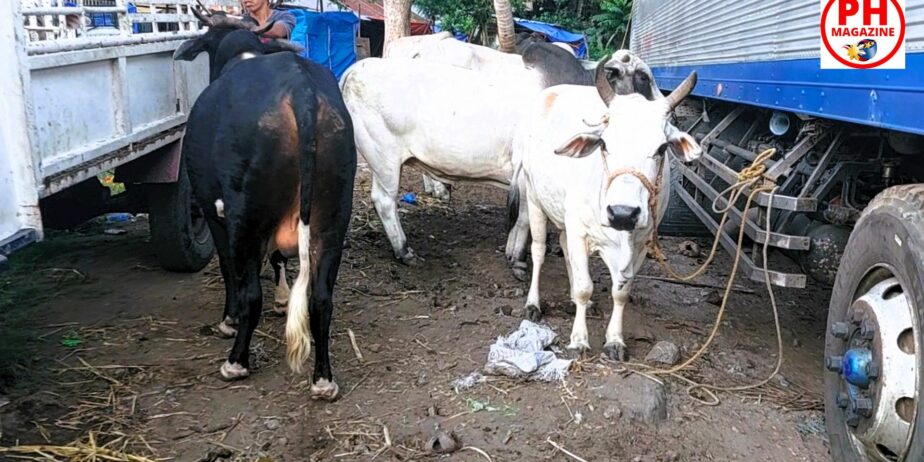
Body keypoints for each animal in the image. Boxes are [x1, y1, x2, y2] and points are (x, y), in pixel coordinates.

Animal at [173, 8, 358, 400]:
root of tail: (301, 91)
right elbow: (278, 260)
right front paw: (283, 299)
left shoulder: (213, 210)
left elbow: (229, 269)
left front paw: (229, 320)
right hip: (334, 216)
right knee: (321, 298)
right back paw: (323, 380)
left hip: (246, 213)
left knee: (250, 292)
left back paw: (236, 361)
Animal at [512, 68, 700, 360]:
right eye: (603, 143)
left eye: (661, 148)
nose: (623, 213)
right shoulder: (578, 230)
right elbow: (584, 286)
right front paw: (578, 340)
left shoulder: (641, 243)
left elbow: (621, 291)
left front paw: (615, 341)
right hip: (533, 198)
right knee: (539, 250)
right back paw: (533, 304)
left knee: (564, 247)